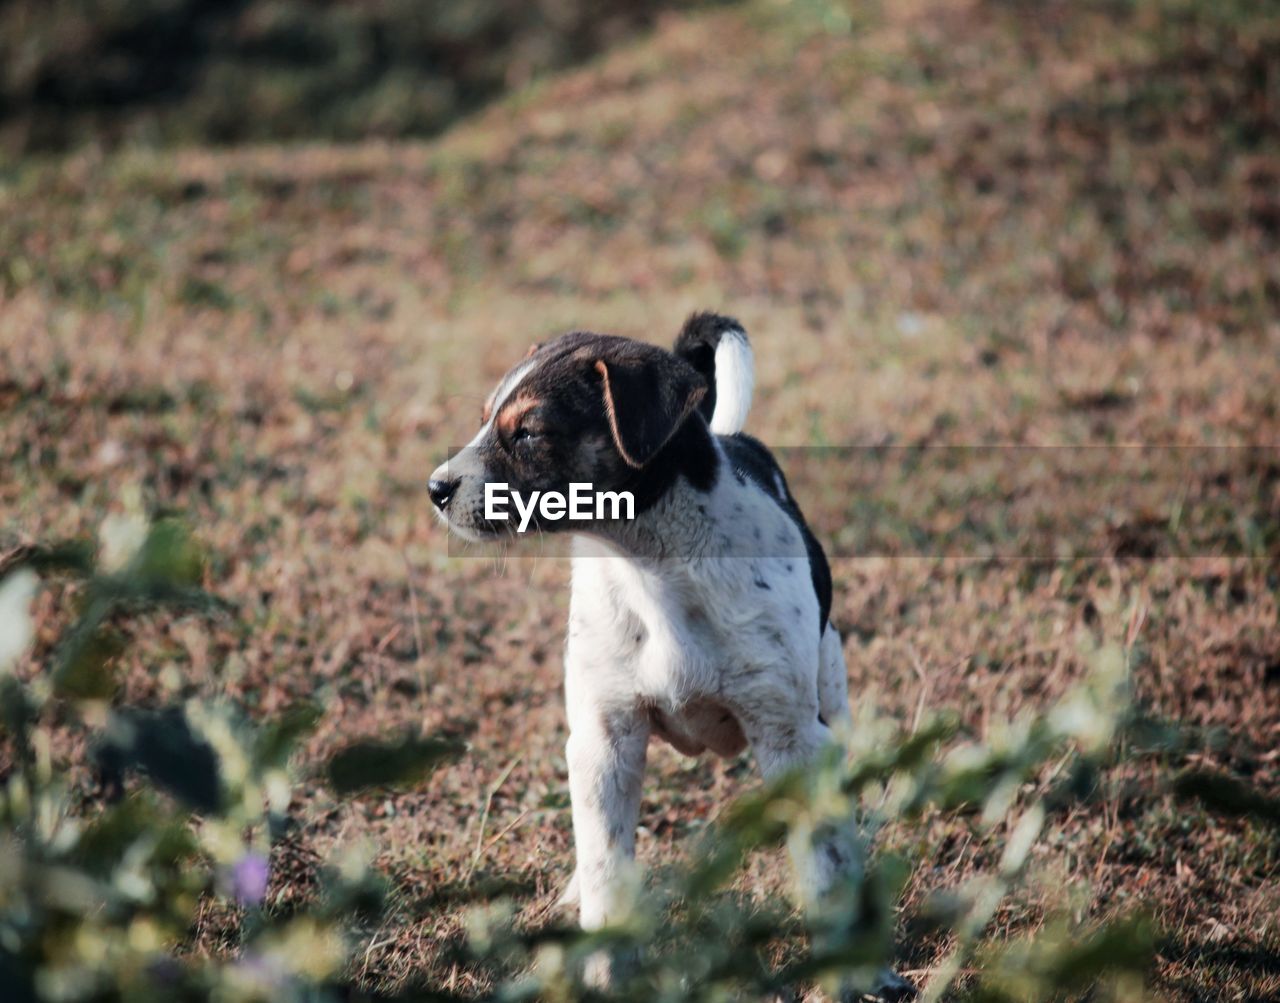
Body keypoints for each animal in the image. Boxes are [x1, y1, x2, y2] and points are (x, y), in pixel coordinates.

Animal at [427, 315, 911, 1002]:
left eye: (529, 432)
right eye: (486, 419)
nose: (435, 489)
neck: (652, 564)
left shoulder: (791, 739)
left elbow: (824, 869)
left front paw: (851, 972)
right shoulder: (604, 741)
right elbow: (607, 868)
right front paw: (605, 974)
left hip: (829, 691)